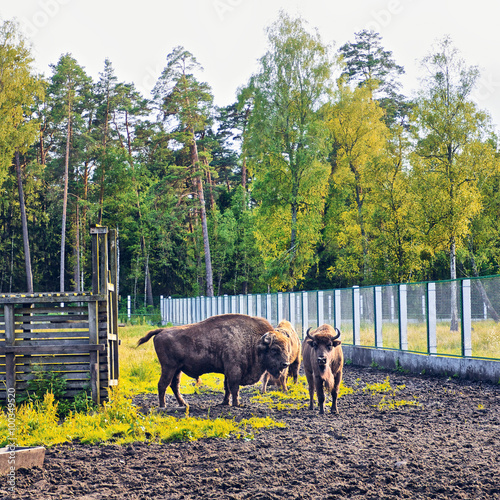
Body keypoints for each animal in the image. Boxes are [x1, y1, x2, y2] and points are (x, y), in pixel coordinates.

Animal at [136, 314, 290, 408]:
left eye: (285, 347)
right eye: (274, 349)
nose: (285, 364)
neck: (254, 342)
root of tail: (161, 331)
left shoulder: (227, 371)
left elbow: (227, 388)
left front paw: (225, 403)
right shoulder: (234, 370)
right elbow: (234, 387)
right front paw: (237, 404)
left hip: (177, 369)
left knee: (174, 385)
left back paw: (183, 404)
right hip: (168, 367)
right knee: (163, 384)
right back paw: (163, 406)